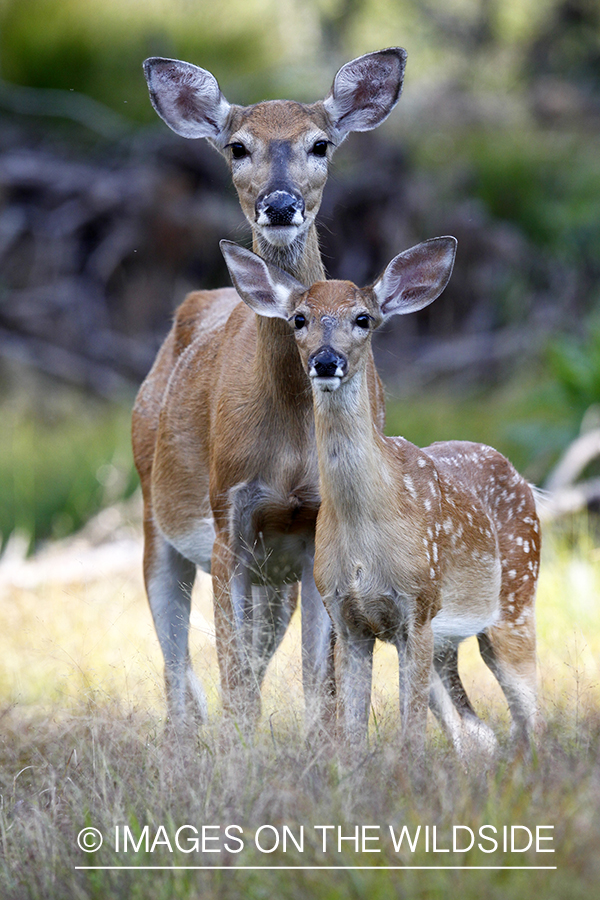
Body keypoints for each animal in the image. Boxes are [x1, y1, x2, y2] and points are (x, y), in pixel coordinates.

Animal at [132, 49, 408, 733]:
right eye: (237, 147)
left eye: (321, 143)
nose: (280, 205)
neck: (287, 438)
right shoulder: (228, 516)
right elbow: (234, 683)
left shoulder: (314, 532)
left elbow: (320, 682)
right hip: (156, 515)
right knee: (178, 666)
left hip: (272, 577)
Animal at [220, 237, 540, 758]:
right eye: (299, 319)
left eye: (363, 318)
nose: (326, 360)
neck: (364, 537)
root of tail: (518, 474)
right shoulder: (346, 615)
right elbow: (352, 732)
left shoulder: (418, 605)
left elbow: (410, 734)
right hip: (451, 639)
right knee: (475, 729)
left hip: (516, 599)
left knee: (531, 714)